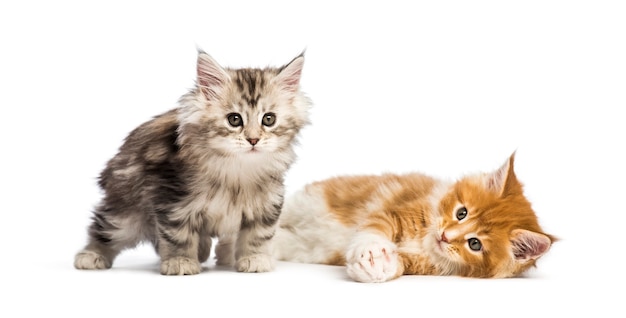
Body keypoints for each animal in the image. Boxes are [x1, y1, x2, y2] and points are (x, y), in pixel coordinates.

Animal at [74, 49, 310, 274]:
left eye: (269, 119)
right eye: (234, 119)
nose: (253, 140)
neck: (236, 170)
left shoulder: (267, 201)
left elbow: (258, 234)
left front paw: (255, 259)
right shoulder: (172, 199)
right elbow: (179, 235)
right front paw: (181, 261)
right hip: (127, 213)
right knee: (104, 229)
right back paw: (90, 256)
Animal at [270, 153, 552, 282]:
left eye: (475, 244)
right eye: (461, 213)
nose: (445, 236)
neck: (425, 241)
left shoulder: (425, 264)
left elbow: (400, 264)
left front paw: (378, 267)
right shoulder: (395, 210)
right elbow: (373, 230)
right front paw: (372, 252)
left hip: (301, 246)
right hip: (302, 203)